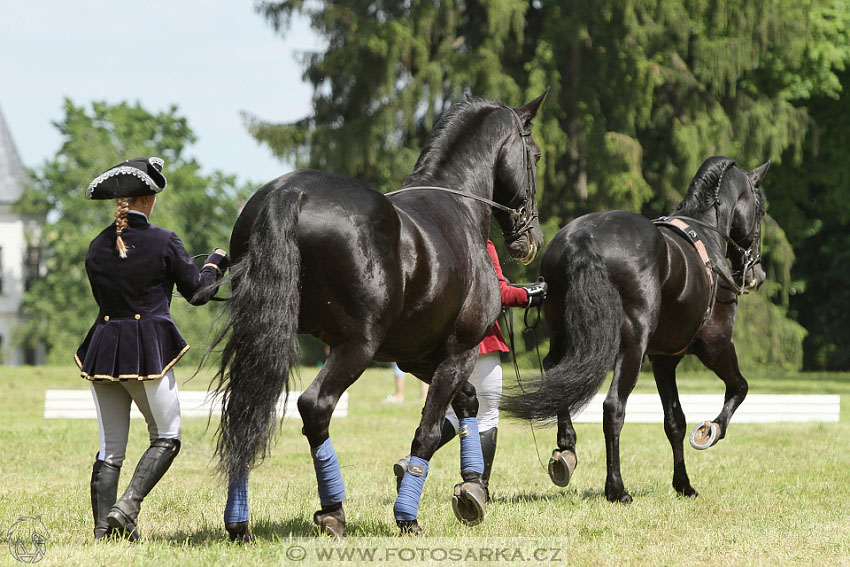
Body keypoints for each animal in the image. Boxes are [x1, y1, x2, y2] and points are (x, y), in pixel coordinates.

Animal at [209, 91, 548, 540]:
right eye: (536, 155)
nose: (531, 240)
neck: (457, 202)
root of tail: (290, 193)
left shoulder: (419, 357)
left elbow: (467, 403)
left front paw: (472, 486)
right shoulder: (459, 351)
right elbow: (429, 429)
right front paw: (409, 515)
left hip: (265, 334)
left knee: (246, 410)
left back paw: (239, 521)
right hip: (357, 346)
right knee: (315, 406)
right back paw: (333, 510)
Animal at [504, 158, 768, 504]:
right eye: (761, 210)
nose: (756, 275)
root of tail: (582, 239)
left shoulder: (664, 359)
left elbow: (674, 421)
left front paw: (683, 484)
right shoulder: (716, 345)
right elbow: (739, 388)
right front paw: (709, 431)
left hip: (565, 336)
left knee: (557, 376)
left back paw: (566, 450)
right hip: (633, 347)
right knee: (613, 407)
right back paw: (616, 489)